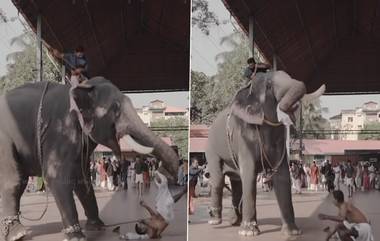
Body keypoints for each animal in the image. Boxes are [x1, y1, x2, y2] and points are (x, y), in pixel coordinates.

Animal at [0, 77, 179, 241]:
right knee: (15, 181)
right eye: (115, 109)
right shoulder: (60, 132)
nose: (161, 171)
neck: (83, 86)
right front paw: (77, 236)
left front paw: (97, 226)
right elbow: (56, 177)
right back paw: (17, 234)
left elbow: (82, 179)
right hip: (5, 139)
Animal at [206, 70, 326, 236]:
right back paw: (216, 221)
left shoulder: (279, 139)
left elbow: (282, 176)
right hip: (211, 148)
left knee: (236, 181)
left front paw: (292, 233)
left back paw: (234, 221)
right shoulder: (243, 136)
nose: (294, 106)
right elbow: (249, 174)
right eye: (268, 85)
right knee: (218, 179)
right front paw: (249, 233)